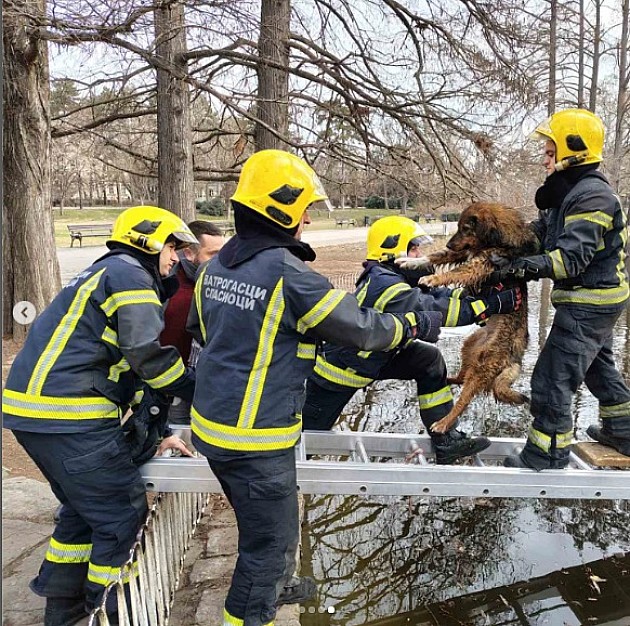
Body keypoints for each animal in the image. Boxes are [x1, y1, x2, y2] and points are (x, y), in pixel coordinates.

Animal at [420, 202, 540, 432]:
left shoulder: (480, 263)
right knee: (461, 379)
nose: (449, 244)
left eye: (466, 228)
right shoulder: (467, 252)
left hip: (482, 369)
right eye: (457, 227)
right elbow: (440, 256)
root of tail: (515, 358)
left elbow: (455, 272)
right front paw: (411, 260)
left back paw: (444, 422)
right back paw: (448, 379)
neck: (500, 240)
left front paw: (432, 278)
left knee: (464, 400)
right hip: (470, 345)